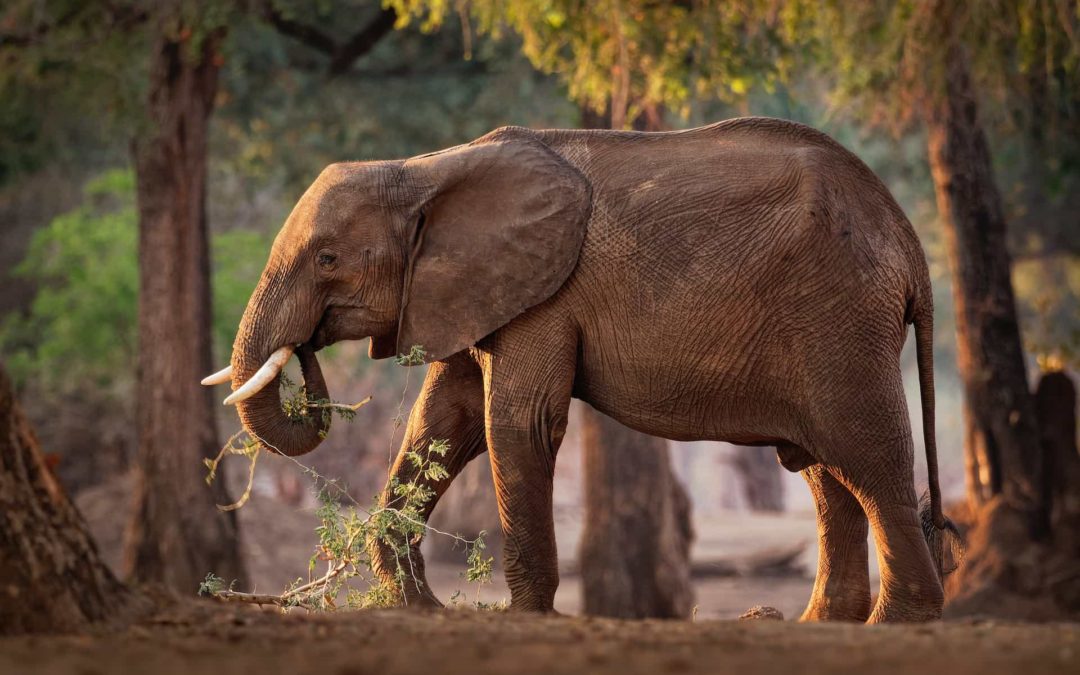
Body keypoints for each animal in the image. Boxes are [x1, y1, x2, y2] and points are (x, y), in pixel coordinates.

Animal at [206, 118, 959, 622]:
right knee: (824, 471)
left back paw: (897, 622)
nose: (306, 354)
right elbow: (444, 420)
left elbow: (516, 424)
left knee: (868, 458)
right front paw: (416, 608)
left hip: (841, 318)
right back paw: (816, 624)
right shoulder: (474, 287)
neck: (425, 170)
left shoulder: (545, 294)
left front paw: (523, 617)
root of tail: (909, 245)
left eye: (328, 259)